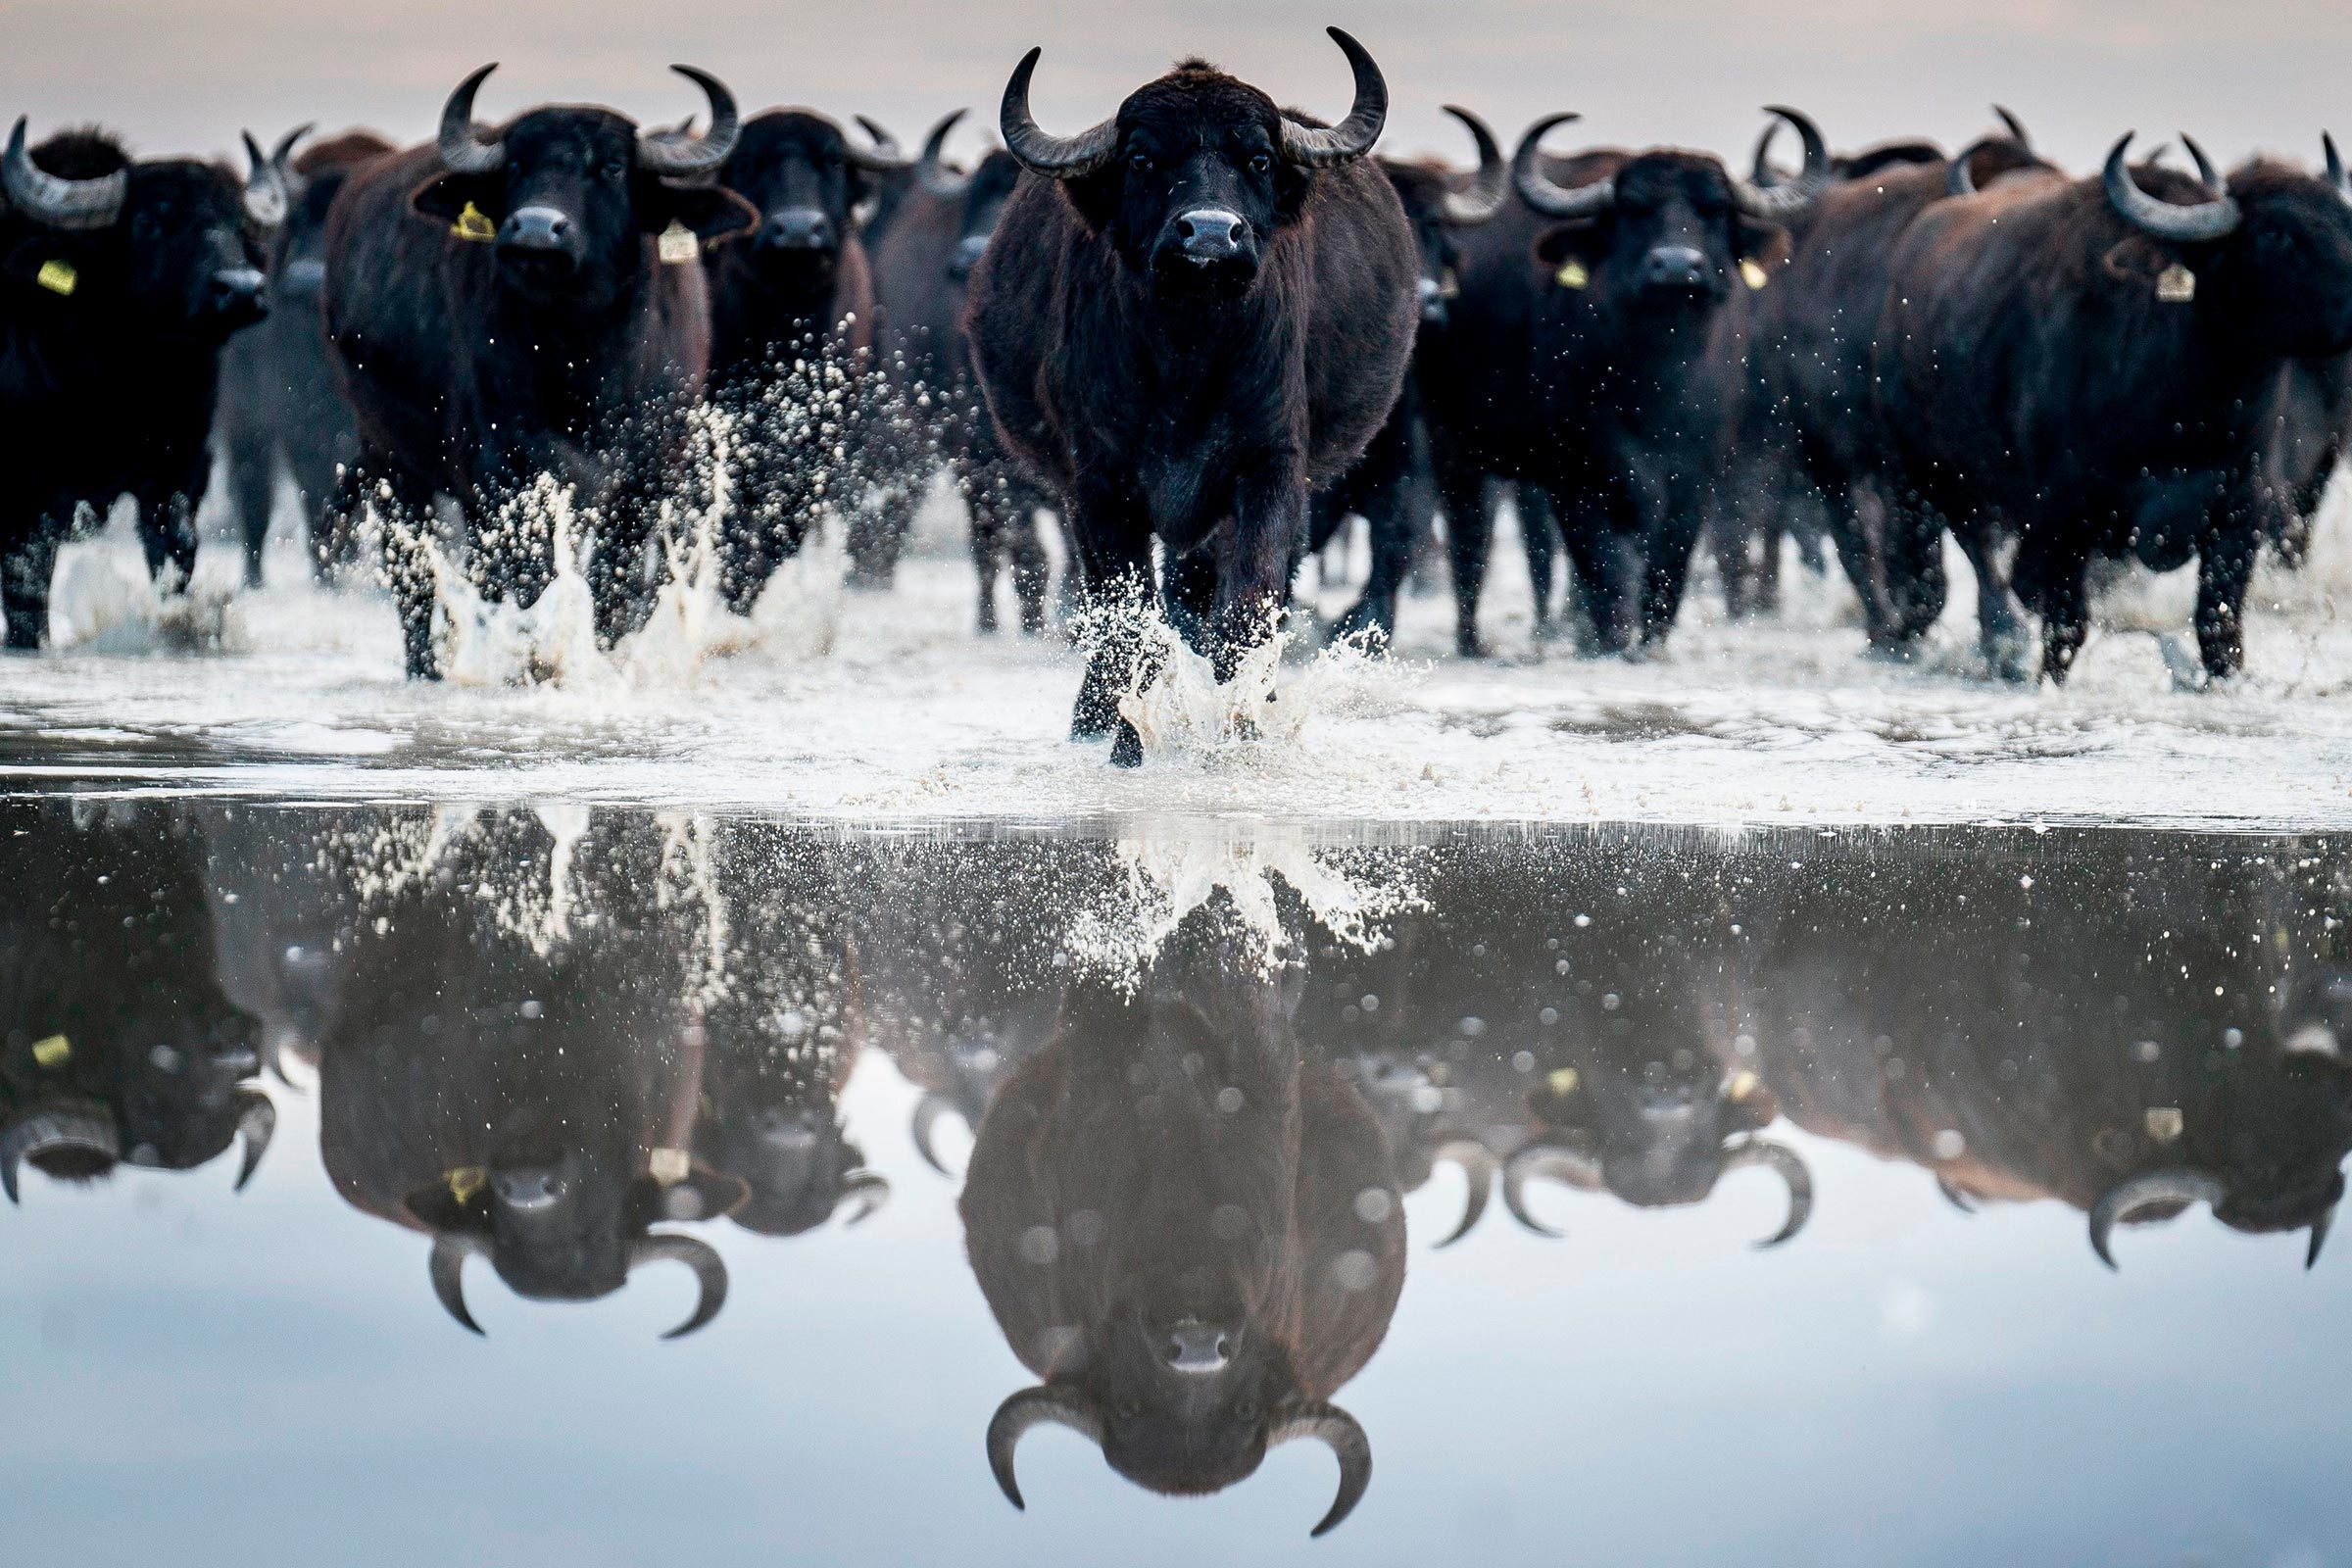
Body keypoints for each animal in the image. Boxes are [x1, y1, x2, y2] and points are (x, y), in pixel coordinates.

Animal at [1, 120, 270, 647]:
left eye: (239, 225)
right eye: (148, 222)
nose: (241, 289)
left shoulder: (179, 469)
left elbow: (177, 552)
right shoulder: (24, 498)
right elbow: (27, 592)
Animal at [322, 65, 758, 677]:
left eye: (612, 167)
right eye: (515, 166)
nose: (532, 229)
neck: (582, 359)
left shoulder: (648, 482)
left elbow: (617, 589)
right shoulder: (501, 472)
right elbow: (529, 579)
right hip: (390, 462)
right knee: (414, 581)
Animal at [965, 29, 1418, 766]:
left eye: (1258, 158)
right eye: (1144, 158)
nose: (1209, 234)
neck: (1189, 362)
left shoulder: (1270, 470)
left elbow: (1245, 615)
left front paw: (1243, 733)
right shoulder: (1100, 488)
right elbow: (1133, 624)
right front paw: (1128, 742)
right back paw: (1091, 719)